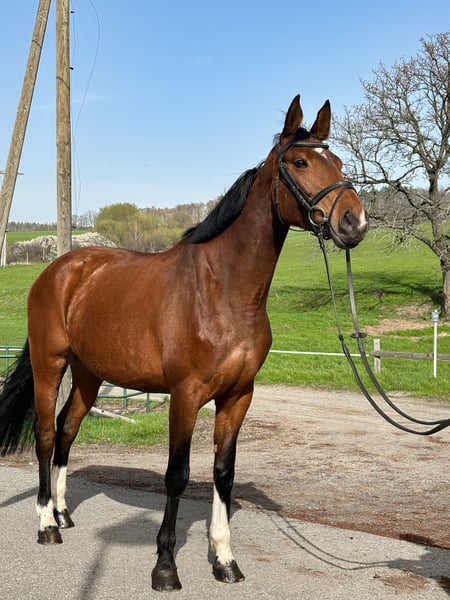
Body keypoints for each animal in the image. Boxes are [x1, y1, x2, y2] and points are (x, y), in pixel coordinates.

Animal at [0, 95, 368, 591]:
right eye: (300, 161)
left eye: (340, 162)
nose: (355, 222)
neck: (223, 292)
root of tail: (58, 271)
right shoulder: (186, 394)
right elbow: (177, 475)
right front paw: (165, 567)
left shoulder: (238, 396)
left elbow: (223, 474)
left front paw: (225, 560)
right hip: (50, 363)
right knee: (43, 434)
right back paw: (46, 524)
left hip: (89, 373)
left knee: (66, 429)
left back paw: (62, 513)